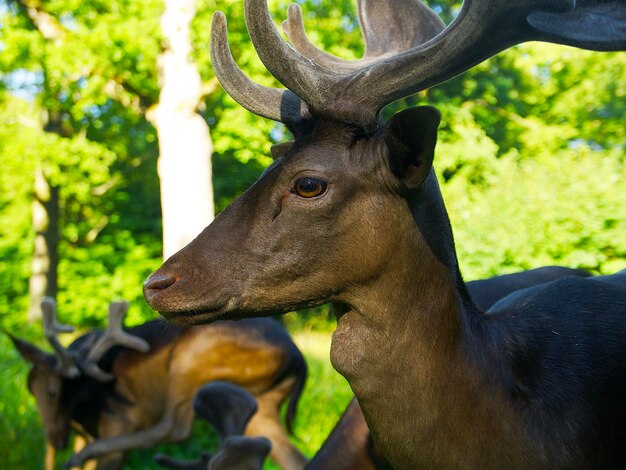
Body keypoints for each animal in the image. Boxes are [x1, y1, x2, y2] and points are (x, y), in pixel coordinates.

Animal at [9, 300, 308, 468]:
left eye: (52, 391)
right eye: (29, 390)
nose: (56, 440)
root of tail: (299, 359)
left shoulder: (119, 419)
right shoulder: (83, 433)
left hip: (189, 363)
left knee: (174, 427)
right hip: (264, 404)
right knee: (290, 456)